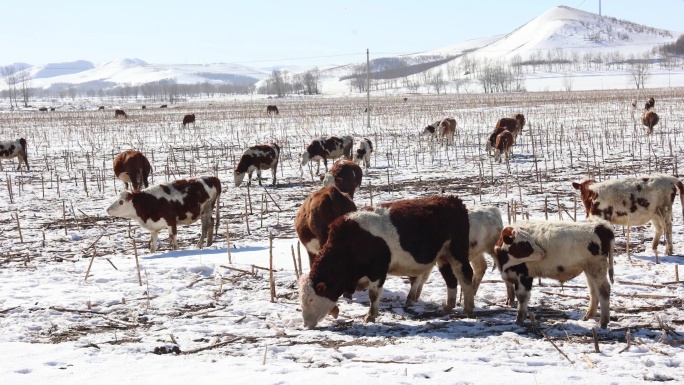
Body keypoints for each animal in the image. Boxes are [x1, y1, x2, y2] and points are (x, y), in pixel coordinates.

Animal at [300, 195, 476, 328]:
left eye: (310, 299)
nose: (306, 324)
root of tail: (453, 200)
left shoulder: (378, 270)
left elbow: (373, 295)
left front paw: (370, 316)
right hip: (443, 256)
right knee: (450, 279)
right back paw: (448, 307)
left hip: (457, 252)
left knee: (466, 276)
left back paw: (468, 308)